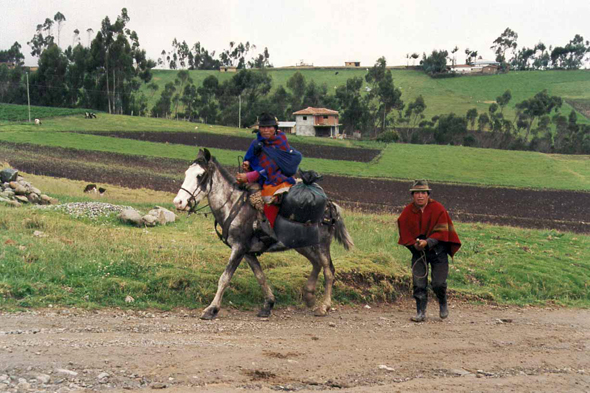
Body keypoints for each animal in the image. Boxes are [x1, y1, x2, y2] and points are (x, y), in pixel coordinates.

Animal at [173, 147, 354, 318]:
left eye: (200, 175)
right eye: (186, 173)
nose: (178, 202)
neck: (234, 206)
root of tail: (330, 206)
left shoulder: (238, 248)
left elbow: (224, 278)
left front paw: (212, 309)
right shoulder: (247, 252)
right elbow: (260, 276)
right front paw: (269, 304)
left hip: (321, 244)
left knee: (328, 271)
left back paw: (324, 306)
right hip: (303, 245)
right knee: (316, 263)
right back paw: (309, 296)